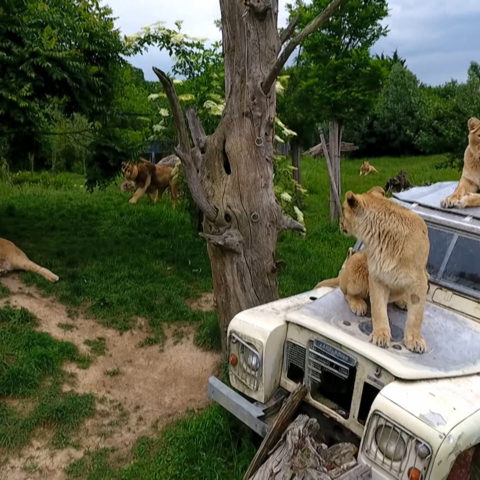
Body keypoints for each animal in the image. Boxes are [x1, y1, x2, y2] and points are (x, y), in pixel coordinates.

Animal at [340, 186, 430, 354]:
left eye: (342, 210)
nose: (339, 223)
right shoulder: (377, 276)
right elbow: (378, 309)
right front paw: (380, 336)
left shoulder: (420, 280)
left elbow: (416, 315)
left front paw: (415, 341)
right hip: (358, 261)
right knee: (347, 293)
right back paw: (358, 305)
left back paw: (402, 302)